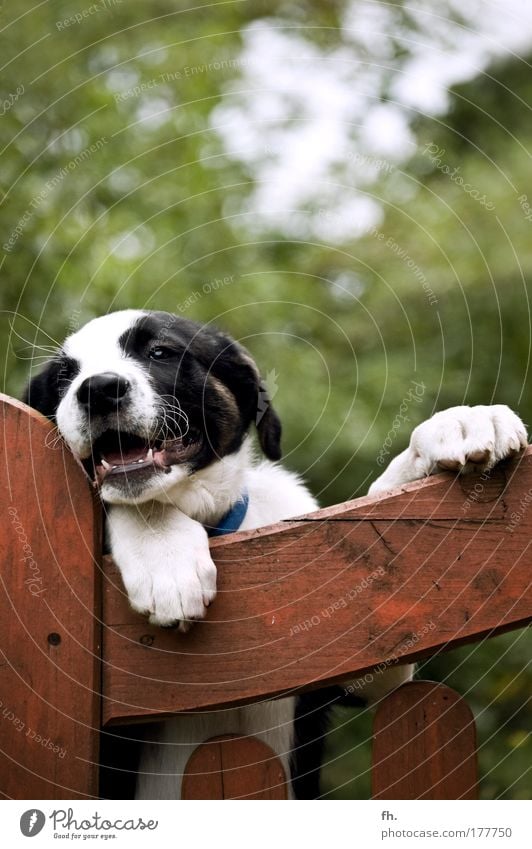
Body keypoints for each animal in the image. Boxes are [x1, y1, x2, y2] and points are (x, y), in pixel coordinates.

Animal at [23, 308, 528, 800]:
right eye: (66, 375)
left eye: (160, 351)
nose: (97, 389)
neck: (214, 524)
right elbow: (133, 504)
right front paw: (165, 557)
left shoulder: (354, 657)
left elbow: (388, 499)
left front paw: (460, 423)